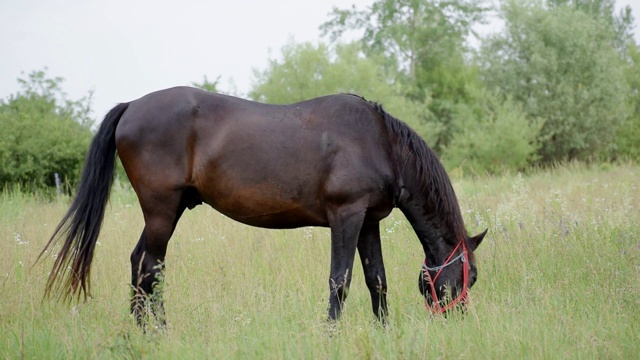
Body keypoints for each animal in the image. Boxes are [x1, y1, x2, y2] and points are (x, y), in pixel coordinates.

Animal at [40, 88, 484, 326]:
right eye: (471, 278)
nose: (458, 320)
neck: (378, 143)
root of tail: (132, 105)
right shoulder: (346, 216)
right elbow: (339, 281)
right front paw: (331, 333)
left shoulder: (368, 221)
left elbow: (377, 280)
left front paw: (384, 331)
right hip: (162, 210)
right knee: (151, 268)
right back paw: (158, 331)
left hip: (167, 211)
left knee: (139, 264)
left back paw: (140, 331)